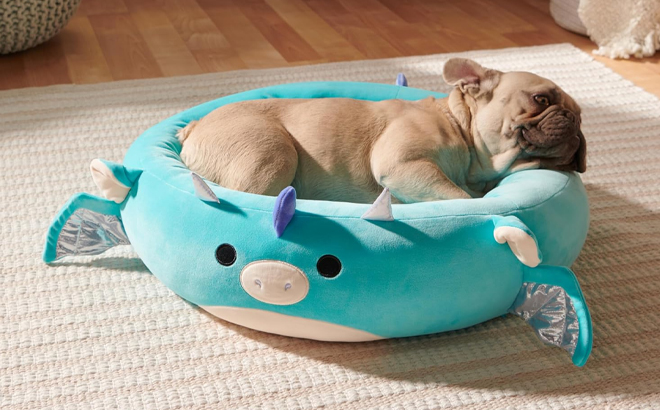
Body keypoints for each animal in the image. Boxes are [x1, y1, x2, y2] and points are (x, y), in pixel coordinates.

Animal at [178, 58, 584, 203]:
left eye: (581, 115)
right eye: (540, 99)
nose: (574, 120)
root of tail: (192, 128)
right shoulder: (404, 166)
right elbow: (461, 199)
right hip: (273, 154)